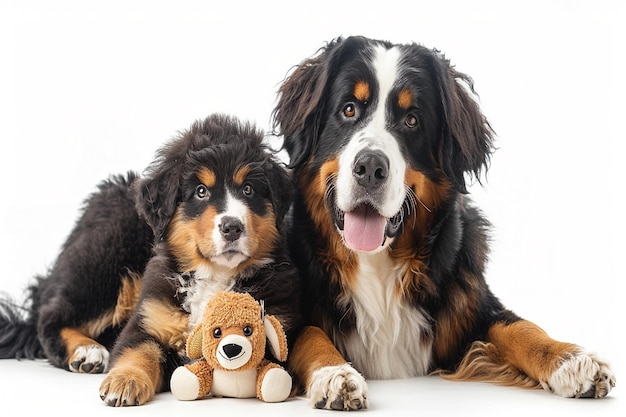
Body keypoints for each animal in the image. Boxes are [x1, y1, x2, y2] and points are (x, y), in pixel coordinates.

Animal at [0, 112, 302, 404]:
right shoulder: (149, 317)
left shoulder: (277, 322)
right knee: (51, 317)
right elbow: (139, 351)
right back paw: (87, 352)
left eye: (248, 189)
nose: (232, 227)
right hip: (106, 261)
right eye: (200, 191)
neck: (215, 275)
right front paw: (124, 382)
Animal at [272, 36, 616, 410]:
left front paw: (572, 360)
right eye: (348, 109)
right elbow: (310, 335)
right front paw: (335, 374)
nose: (370, 167)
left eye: (412, 120)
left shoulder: (474, 303)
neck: (377, 266)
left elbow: (520, 328)